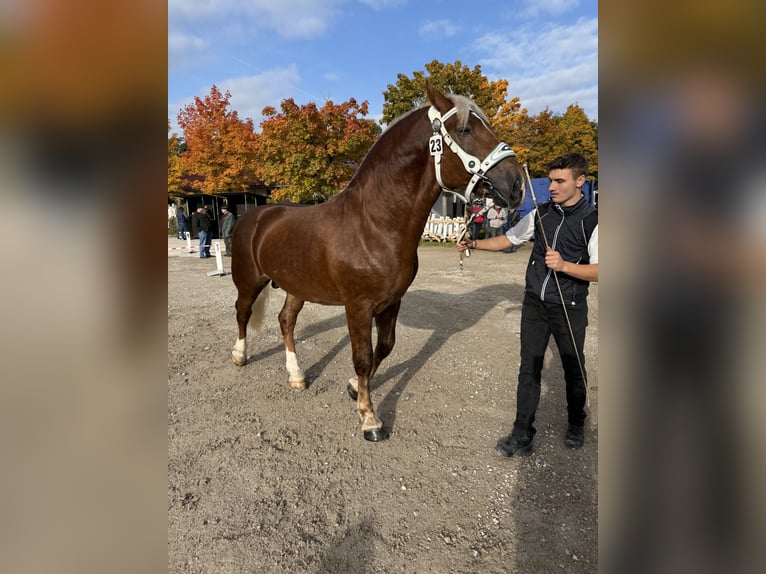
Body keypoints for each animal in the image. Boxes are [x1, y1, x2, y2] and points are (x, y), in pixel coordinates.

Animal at [230, 83, 525, 441]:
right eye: (466, 130)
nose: (516, 184)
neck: (373, 224)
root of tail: (255, 215)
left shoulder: (391, 302)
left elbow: (384, 348)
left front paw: (354, 388)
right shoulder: (358, 306)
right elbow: (362, 356)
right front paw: (370, 418)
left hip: (296, 286)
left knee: (286, 321)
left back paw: (296, 376)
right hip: (249, 279)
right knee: (242, 312)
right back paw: (240, 356)